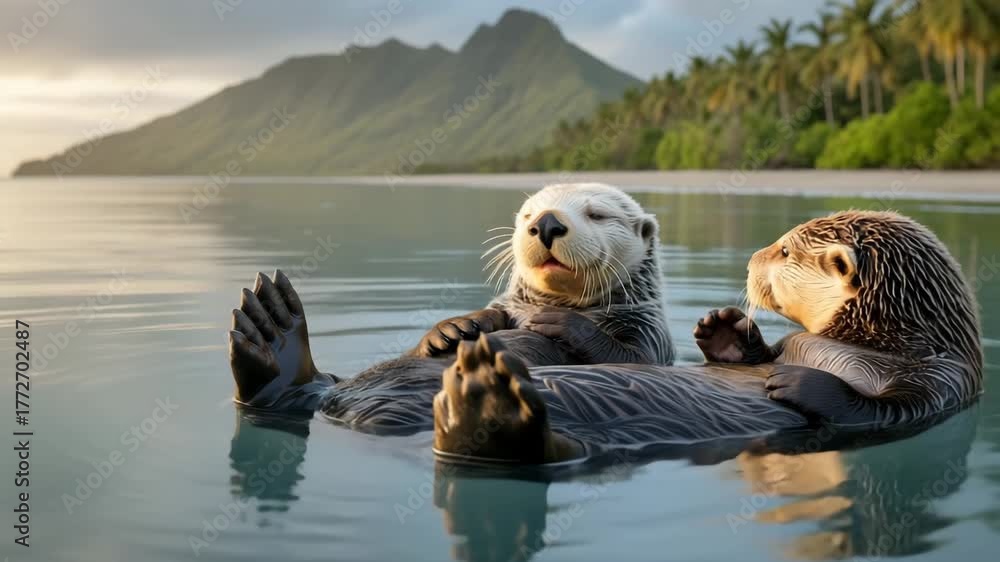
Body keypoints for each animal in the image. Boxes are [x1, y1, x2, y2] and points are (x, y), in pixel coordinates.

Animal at [228, 211, 981, 464]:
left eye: (788, 250)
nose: (748, 261)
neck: (876, 338)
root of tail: (347, 411)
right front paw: (723, 332)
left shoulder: (947, 381)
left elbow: (887, 408)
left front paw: (794, 379)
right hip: (343, 386)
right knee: (292, 393)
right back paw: (272, 337)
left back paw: (484, 405)